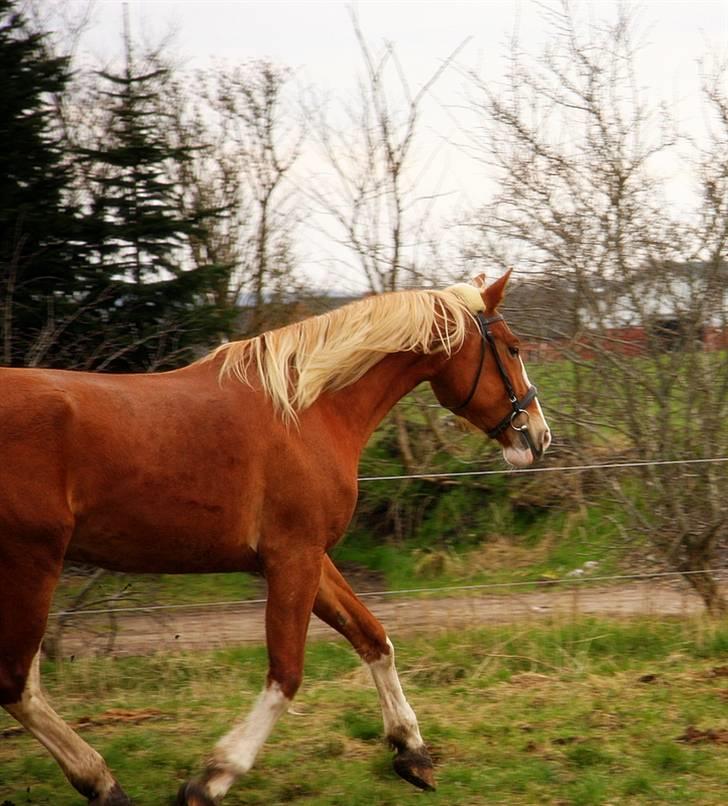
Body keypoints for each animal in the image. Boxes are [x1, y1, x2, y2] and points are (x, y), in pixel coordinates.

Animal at [0, 274, 548, 804]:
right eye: (513, 347)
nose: (538, 436)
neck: (309, 409)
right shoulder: (293, 558)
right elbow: (287, 674)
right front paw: (211, 779)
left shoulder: (309, 559)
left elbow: (373, 638)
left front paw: (412, 751)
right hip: (32, 564)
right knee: (17, 684)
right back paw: (101, 781)